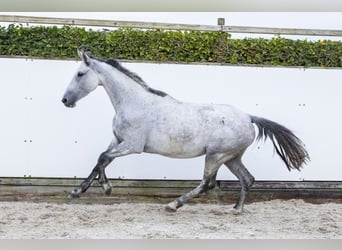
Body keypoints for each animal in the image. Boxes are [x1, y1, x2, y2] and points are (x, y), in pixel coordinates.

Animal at [61, 49, 310, 214]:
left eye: (80, 74)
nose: (65, 100)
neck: (134, 102)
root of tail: (249, 117)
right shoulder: (117, 140)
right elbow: (101, 160)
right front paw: (78, 191)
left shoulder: (132, 145)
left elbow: (102, 158)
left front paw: (105, 188)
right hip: (231, 158)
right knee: (247, 179)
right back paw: (236, 209)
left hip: (216, 155)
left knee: (208, 183)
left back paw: (173, 204)